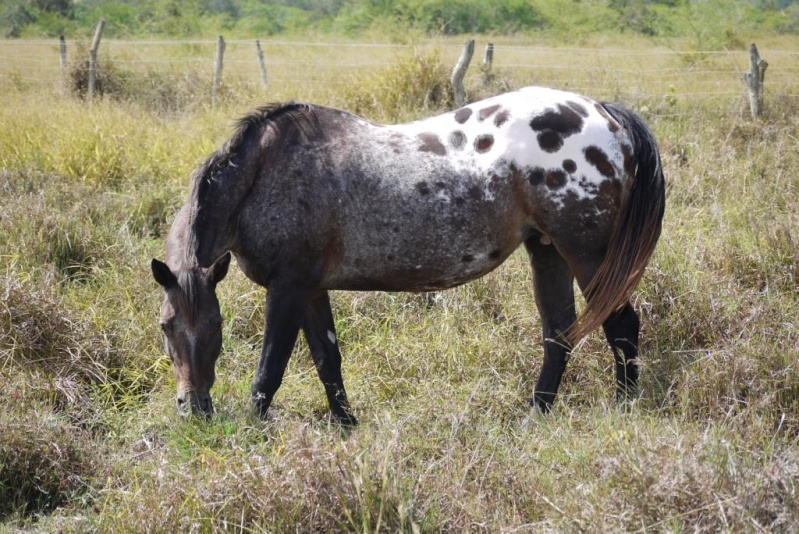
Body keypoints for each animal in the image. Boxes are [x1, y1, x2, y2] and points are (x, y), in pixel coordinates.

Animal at [153, 87, 664, 422]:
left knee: (620, 324)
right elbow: (327, 360)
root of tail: (603, 112)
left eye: (216, 326)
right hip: (547, 250)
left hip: (588, 253)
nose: (193, 408)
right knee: (558, 334)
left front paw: (254, 436)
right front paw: (347, 426)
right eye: (166, 326)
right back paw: (535, 416)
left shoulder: (288, 289)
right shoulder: (311, 290)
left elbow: (269, 371)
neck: (264, 175)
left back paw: (624, 407)